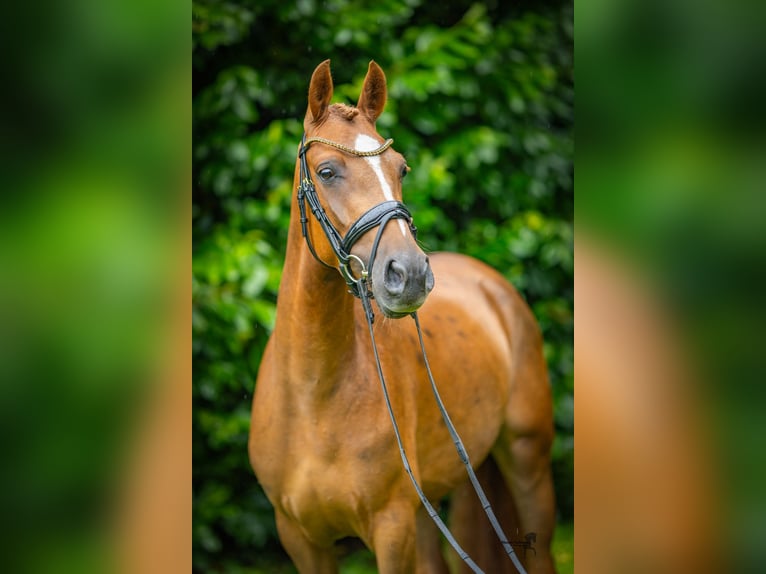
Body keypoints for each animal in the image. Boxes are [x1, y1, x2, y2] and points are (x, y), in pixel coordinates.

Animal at [252, 60, 560, 572]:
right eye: (327, 171)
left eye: (401, 168)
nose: (410, 273)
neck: (314, 397)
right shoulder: (300, 539)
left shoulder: (391, 530)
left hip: (527, 460)